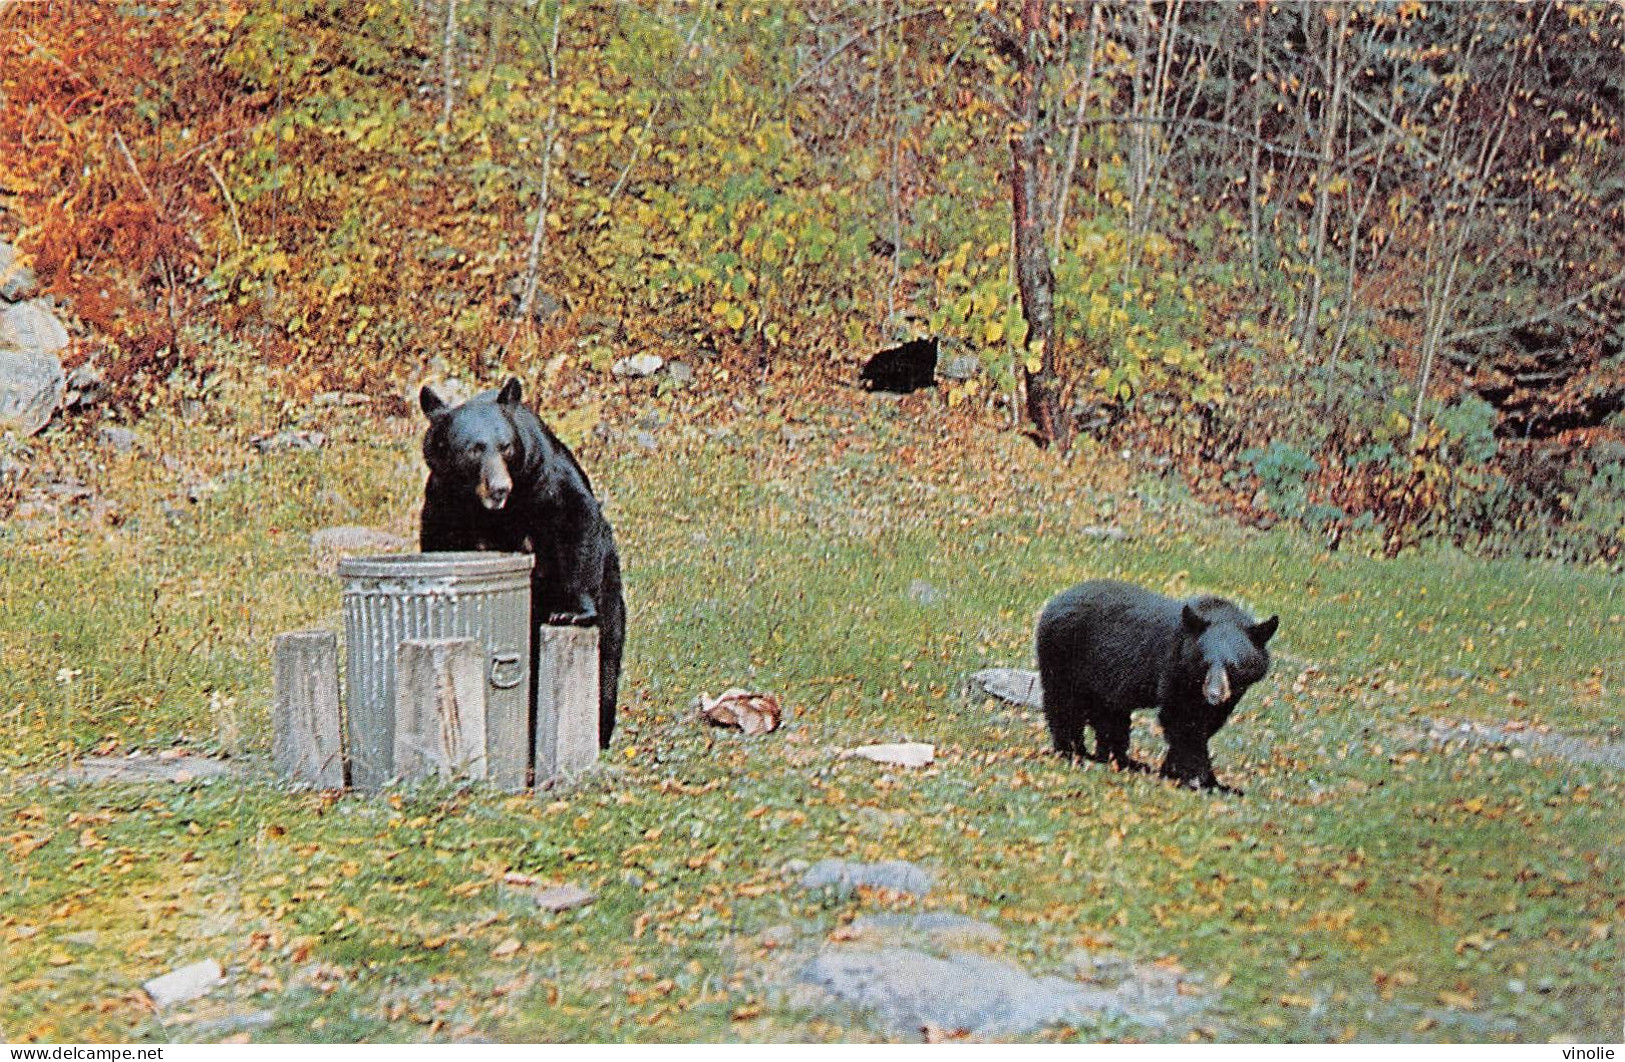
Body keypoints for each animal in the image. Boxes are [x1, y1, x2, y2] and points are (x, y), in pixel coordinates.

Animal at [416, 379, 624, 750]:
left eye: (506, 447)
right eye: (474, 449)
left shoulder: (545, 478)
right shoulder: (443, 501)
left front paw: (572, 611)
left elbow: (576, 519)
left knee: (607, 662)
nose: (500, 488)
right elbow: (440, 544)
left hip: (611, 591)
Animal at [1033, 578, 1274, 795]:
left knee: (1109, 717)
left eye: (1233, 666)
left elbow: (1207, 725)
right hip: (1064, 655)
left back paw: (1120, 760)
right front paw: (1202, 781)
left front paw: (1176, 772)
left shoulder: (1230, 695)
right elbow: (1183, 722)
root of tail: (1052, 602)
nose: (1214, 695)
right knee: (1065, 705)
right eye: (1205, 662)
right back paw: (1073, 752)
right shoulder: (1175, 670)